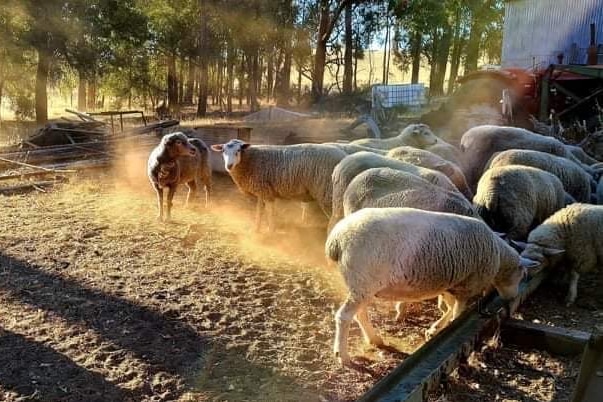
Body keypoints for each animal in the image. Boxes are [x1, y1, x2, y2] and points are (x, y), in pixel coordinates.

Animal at [211, 140, 346, 231]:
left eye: (238, 151)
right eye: (223, 151)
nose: (229, 166)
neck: (251, 159)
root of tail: (344, 156)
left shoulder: (266, 192)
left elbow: (269, 212)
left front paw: (270, 230)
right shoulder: (262, 191)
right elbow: (259, 211)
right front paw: (256, 229)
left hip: (328, 193)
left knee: (337, 217)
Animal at [326, 207, 536, 368]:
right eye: (522, 274)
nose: (513, 297)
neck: (498, 255)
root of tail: (337, 239)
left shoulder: (451, 284)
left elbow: (448, 307)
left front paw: (434, 330)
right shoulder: (466, 286)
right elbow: (456, 313)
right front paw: (446, 330)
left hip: (360, 285)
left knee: (360, 313)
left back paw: (374, 339)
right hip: (364, 281)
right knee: (344, 316)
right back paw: (342, 355)